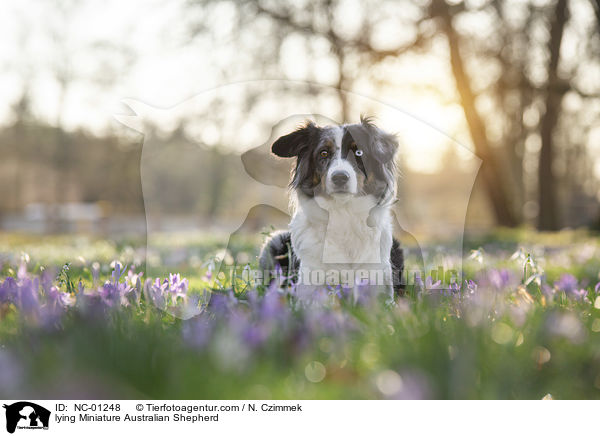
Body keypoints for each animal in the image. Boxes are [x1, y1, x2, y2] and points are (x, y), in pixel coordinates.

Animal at [258, 116, 404, 300]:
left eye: (359, 152)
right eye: (324, 153)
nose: (340, 177)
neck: (343, 214)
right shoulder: (310, 284)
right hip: (274, 241)